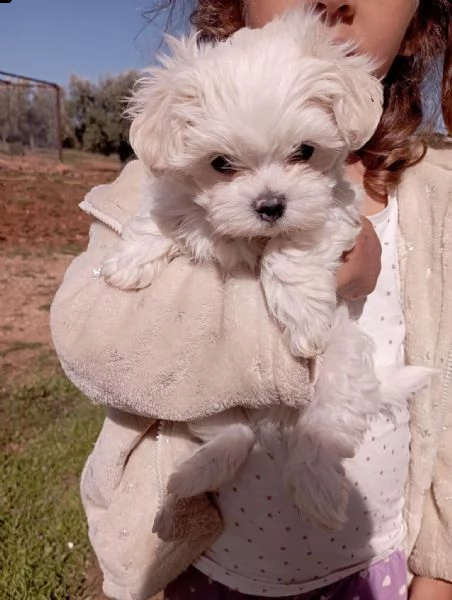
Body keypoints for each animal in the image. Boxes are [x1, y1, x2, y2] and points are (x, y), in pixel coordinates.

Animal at [100, 10, 430, 528]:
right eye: (220, 163)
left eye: (305, 151)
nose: (271, 205)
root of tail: (273, 416)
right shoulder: (175, 198)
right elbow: (161, 219)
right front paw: (127, 264)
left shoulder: (333, 212)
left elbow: (291, 248)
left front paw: (304, 318)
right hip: (202, 394)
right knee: (233, 432)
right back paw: (194, 475)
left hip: (341, 368)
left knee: (322, 433)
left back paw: (318, 493)